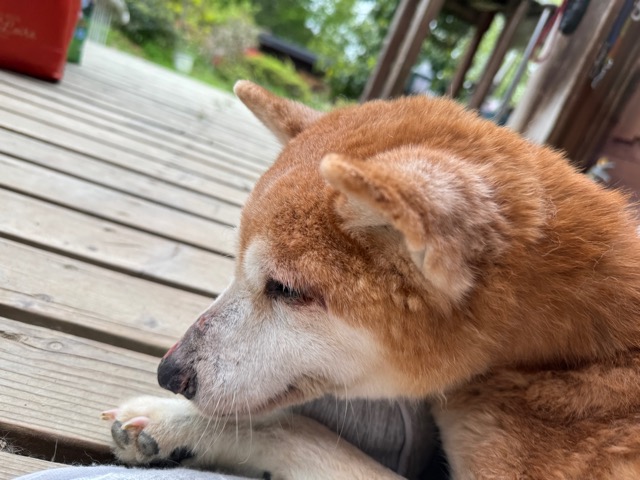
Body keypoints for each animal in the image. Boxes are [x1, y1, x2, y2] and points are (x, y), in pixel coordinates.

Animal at [102, 81, 640, 479]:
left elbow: (294, 429)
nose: (169, 373)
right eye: (234, 265)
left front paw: (176, 423)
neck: (578, 351)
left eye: (286, 289)